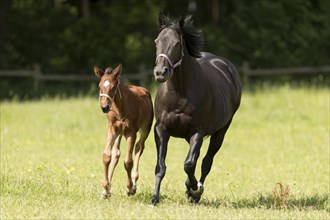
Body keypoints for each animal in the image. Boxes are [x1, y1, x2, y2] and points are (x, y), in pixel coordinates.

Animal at [94, 63, 153, 198]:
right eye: (100, 86)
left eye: (113, 87)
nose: (104, 107)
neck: (120, 108)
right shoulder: (112, 129)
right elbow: (106, 156)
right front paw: (105, 189)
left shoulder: (131, 132)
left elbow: (128, 162)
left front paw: (130, 188)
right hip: (119, 133)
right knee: (116, 154)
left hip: (145, 129)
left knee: (139, 147)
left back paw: (134, 182)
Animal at [151, 14, 241, 205]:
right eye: (157, 41)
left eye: (177, 43)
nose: (160, 72)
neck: (179, 94)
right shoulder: (161, 129)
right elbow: (161, 166)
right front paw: (155, 198)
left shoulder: (197, 132)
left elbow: (189, 164)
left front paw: (194, 187)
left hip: (220, 131)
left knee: (206, 161)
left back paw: (195, 193)